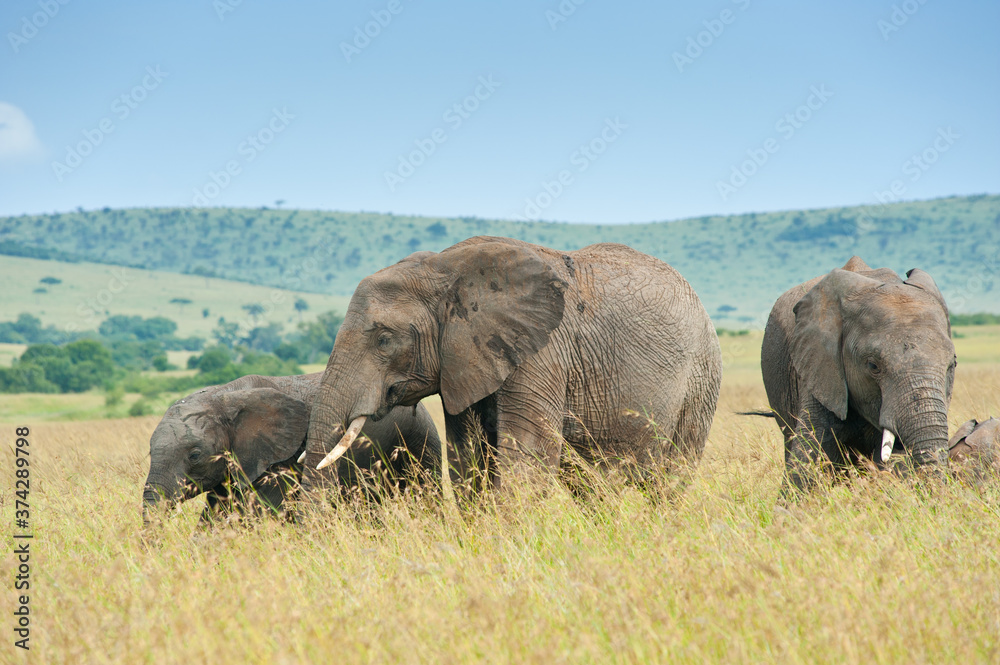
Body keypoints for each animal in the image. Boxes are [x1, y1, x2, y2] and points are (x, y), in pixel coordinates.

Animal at [141, 372, 441, 523]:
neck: (223, 396)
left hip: (418, 437)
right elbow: (215, 516)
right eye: (150, 453)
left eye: (194, 456)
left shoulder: (281, 459)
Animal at [302, 236, 722, 493]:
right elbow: (470, 458)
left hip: (701, 379)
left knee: (673, 475)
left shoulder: (542, 353)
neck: (444, 269)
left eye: (385, 340)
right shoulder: (465, 361)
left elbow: (527, 456)